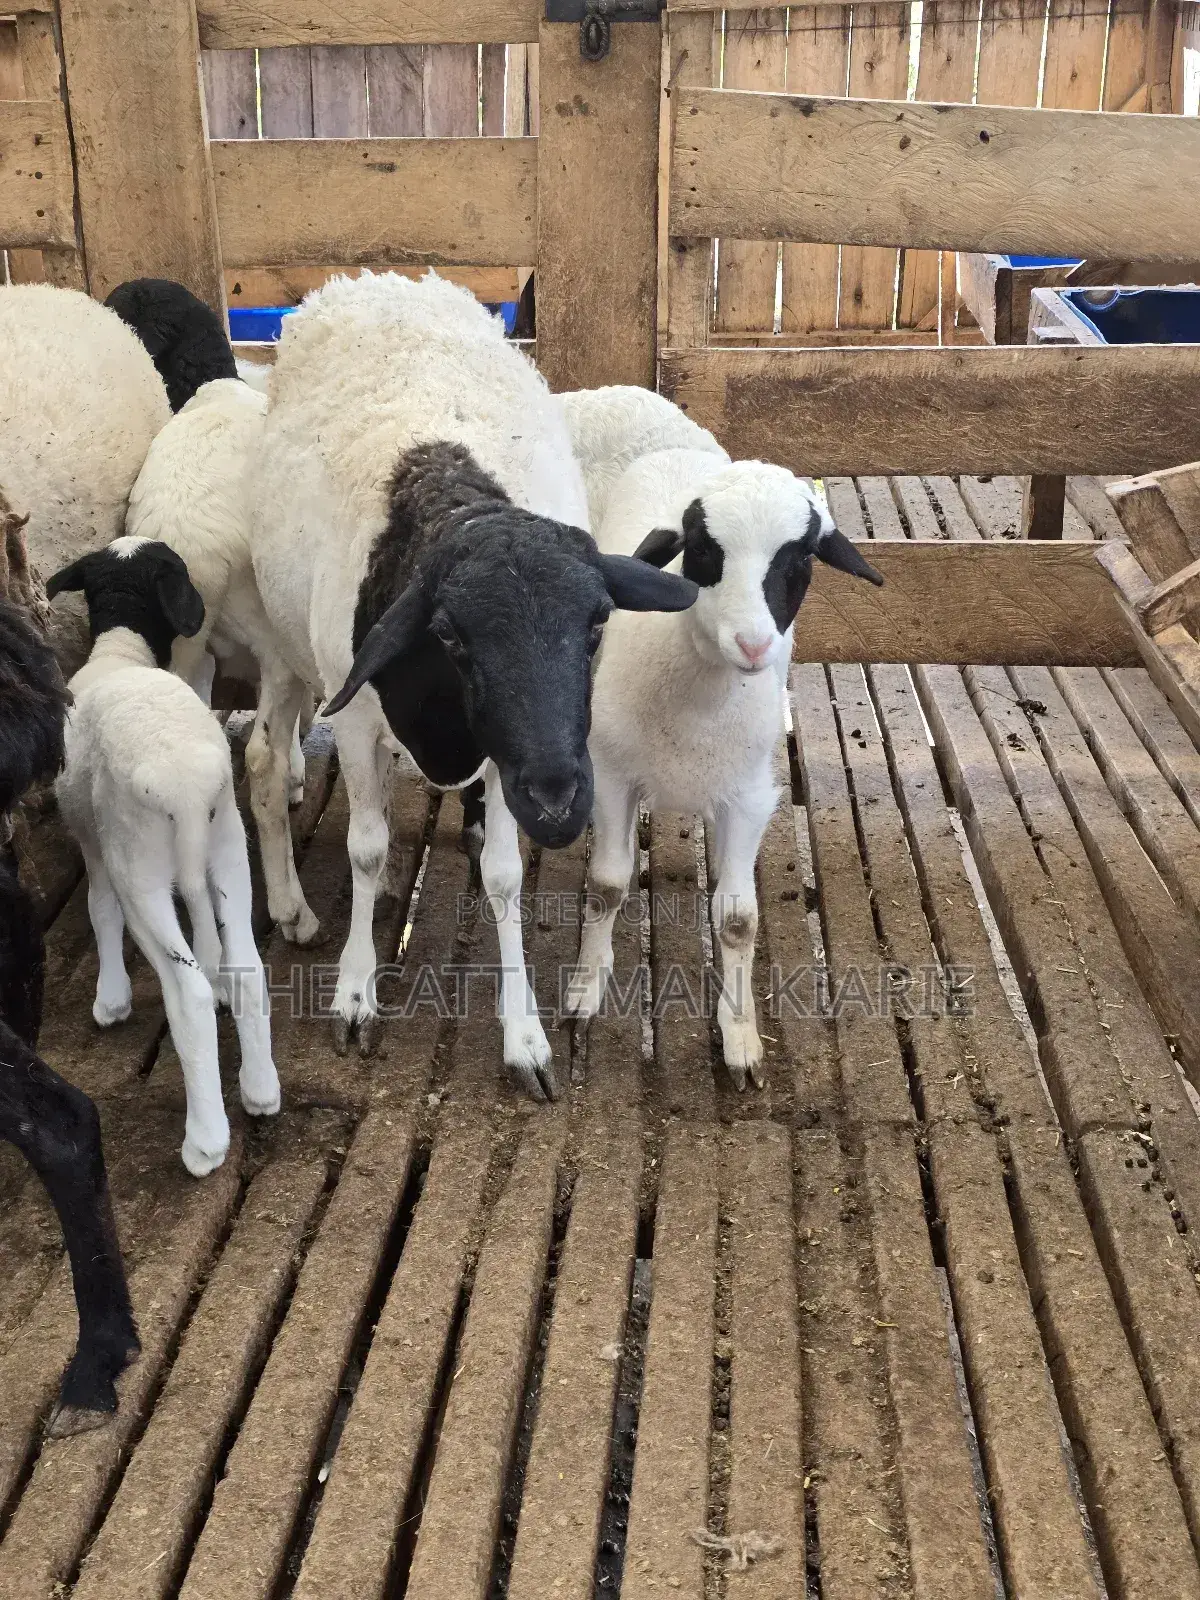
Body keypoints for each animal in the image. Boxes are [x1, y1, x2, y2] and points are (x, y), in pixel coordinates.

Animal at [47, 537, 280, 1175]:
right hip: (227, 842)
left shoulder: (93, 838)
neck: (123, 650)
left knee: (186, 993)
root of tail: (183, 785)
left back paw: (206, 1140)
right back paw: (260, 1089)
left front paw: (111, 999)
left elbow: (99, 908)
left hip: (141, 870)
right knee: (248, 966)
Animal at [247, 270, 697, 1096]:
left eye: (597, 622)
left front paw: (525, 1036)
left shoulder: (503, 754)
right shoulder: (354, 719)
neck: (456, 503)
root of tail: (379, 280)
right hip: (282, 640)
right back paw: (294, 906)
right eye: (452, 636)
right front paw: (354, 995)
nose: (558, 800)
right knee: (265, 759)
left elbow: (505, 876)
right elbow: (364, 848)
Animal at [560, 389, 883, 1088]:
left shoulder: (749, 797)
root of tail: (619, 395)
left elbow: (736, 921)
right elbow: (608, 885)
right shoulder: (613, 775)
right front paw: (585, 990)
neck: (699, 703)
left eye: (799, 561)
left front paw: (740, 1040)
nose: (755, 645)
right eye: (704, 551)